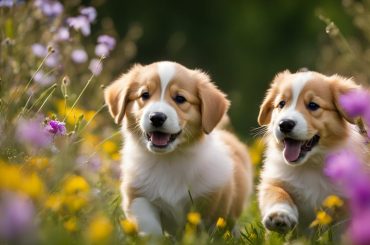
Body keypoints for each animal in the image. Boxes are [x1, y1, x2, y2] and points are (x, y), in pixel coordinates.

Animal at [105, 60, 253, 235]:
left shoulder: (210, 199)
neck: (168, 159)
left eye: (180, 98)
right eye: (144, 95)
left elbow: (202, 229)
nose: (156, 117)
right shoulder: (137, 194)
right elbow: (148, 224)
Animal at [258, 70, 368, 234]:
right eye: (281, 104)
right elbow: (277, 193)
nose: (284, 124)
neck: (310, 164)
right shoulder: (275, 179)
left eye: (313, 105)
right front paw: (280, 215)